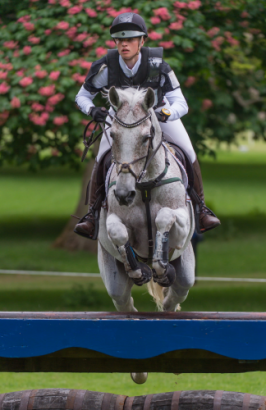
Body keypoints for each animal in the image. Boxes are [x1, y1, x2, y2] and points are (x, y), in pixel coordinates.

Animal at [97, 85, 195, 312]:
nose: (124, 195)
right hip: (113, 279)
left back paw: (167, 279)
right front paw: (139, 271)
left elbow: (164, 216)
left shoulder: (182, 222)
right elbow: (118, 233)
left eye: (146, 136)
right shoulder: (111, 220)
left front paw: (160, 266)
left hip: (186, 267)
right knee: (125, 303)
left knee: (175, 295)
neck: (145, 187)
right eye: (112, 135)